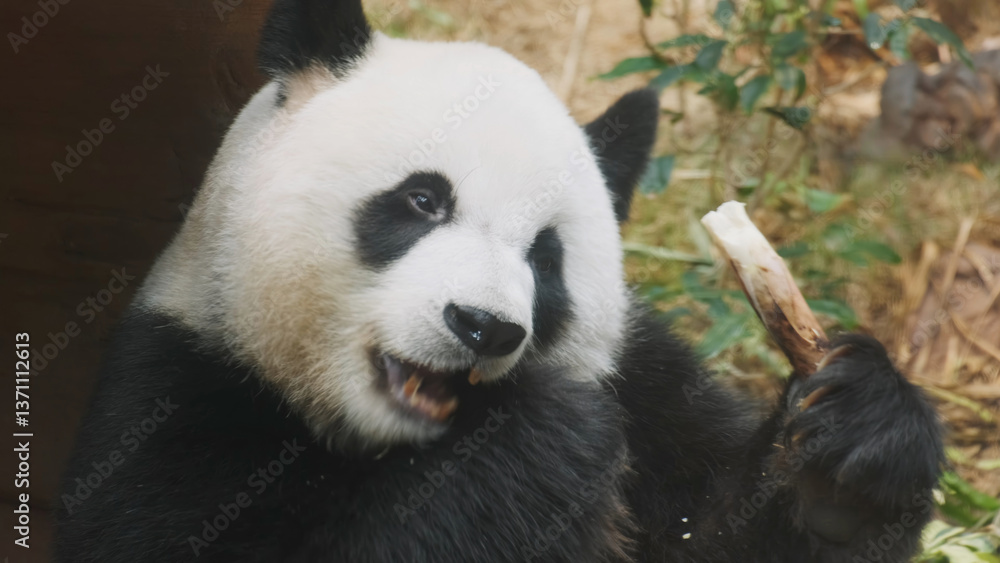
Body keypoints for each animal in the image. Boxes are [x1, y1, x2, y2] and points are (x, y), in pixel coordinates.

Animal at [55, 0, 944, 561]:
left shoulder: (645, 379)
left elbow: (715, 535)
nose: (483, 327)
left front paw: (848, 462)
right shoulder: (180, 393)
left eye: (544, 258)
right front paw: (543, 441)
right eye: (423, 199)